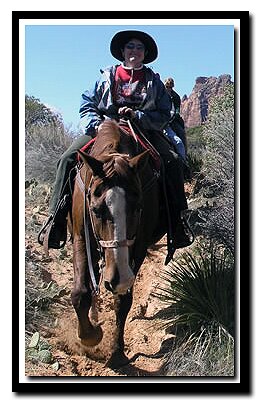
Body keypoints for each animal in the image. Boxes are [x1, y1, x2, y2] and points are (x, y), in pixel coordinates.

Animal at [69, 119, 166, 368]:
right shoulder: (80, 237)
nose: (119, 278)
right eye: (96, 210)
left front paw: (117, 353)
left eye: (139, 207)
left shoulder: (138, 246)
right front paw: (90, 336)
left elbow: (123, 300)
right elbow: (80, 293)